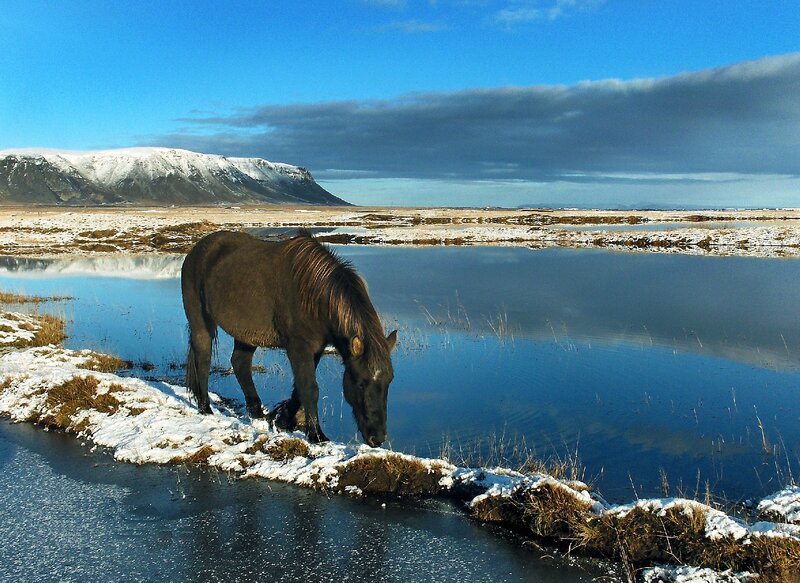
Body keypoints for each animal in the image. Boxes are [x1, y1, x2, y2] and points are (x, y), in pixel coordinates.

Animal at [181, 230, 397, 446]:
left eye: (389, 381)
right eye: (360, 383)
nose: (377, 438)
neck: (314, 294)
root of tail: (197, 250)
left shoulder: (316, 349)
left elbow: (299, 390)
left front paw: (282, 420)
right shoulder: (298, 347)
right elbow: (309, 388)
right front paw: (317, 435)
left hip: (246, 335)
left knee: (240, 363)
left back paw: (257, 413)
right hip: (202, 322)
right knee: (203, 358)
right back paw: (205, 408)